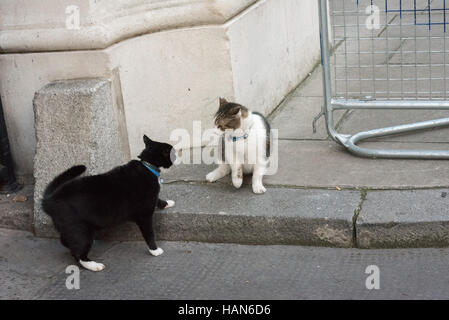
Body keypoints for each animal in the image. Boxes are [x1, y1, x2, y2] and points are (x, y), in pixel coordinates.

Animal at [42, 135, 174, 272]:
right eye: (172, 153)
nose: (175, 158)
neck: (148, 166)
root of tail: (50, 200)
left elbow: (158, 199)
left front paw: (167, 203)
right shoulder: (144, 216)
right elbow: (149, 234)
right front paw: (154, 250)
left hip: (71, 229)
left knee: (65, 241)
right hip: (79, 230)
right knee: (78, 253)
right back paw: (93, 265)